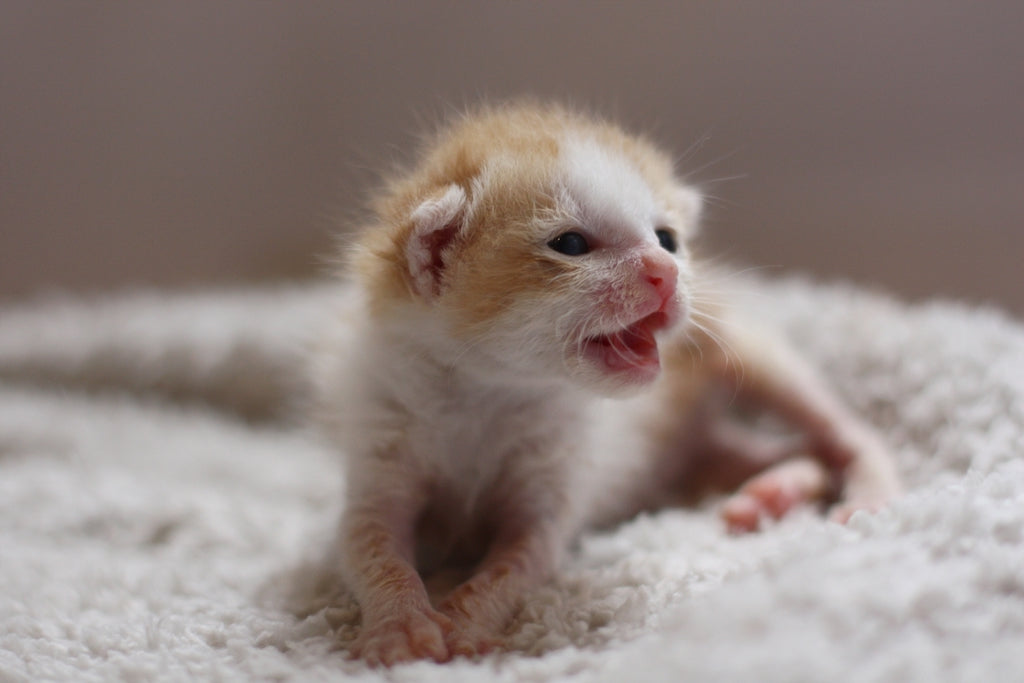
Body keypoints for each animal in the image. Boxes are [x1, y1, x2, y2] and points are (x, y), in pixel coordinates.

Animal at [315, 102, 901, 667]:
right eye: (571, 243)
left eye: (667, 239)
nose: (667, 270)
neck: (488, 388)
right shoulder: (383, 435)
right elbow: (368, 542)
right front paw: (400, 625)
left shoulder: (553, 482)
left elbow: (521, 560)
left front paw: (463, 619)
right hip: (684, 454)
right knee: (773, 454)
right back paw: (776, 489)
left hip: (741, 348)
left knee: (831, 425)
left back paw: (868, 488)